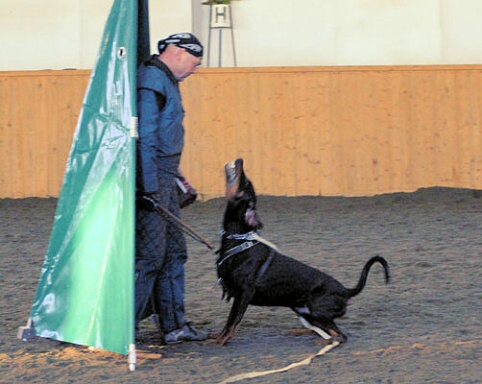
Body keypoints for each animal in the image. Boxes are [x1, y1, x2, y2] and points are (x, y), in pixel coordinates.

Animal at [217, 158, 390, 346]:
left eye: (245, 184)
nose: (240, 160)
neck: (238, 240)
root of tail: (345, 291)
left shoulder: (244, 294)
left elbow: (232, 322)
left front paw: (219, 341)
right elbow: (230, 323)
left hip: (316, 309)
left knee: (339, 335)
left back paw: (322, 342)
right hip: (303, 311)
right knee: (323, 331)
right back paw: (301, 332)